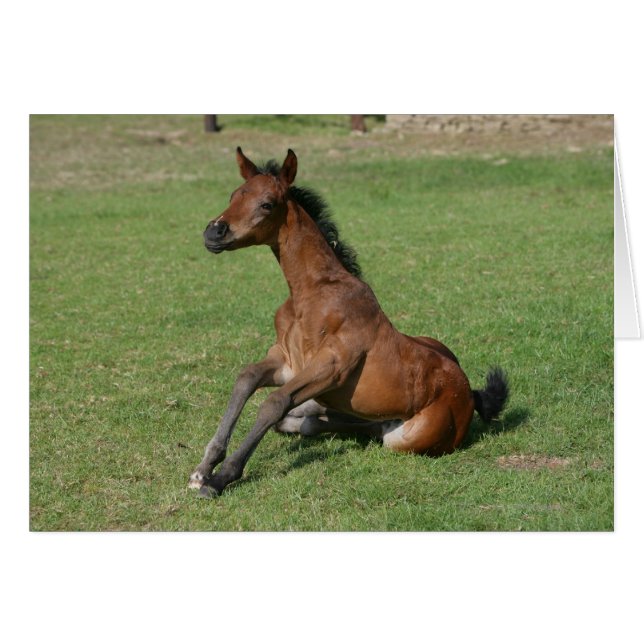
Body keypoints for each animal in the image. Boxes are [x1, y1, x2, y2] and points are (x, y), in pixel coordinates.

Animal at [189, 148, 509, 497]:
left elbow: (274, 402)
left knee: (360, 427)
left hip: (402, 438)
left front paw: (220, 478)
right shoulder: (286, 363)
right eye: (234, 195)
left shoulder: (332, 366)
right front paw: (204, 467)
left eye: (267, 204)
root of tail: (468, 393)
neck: (311, 293)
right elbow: (246, 379)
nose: (213, 232)